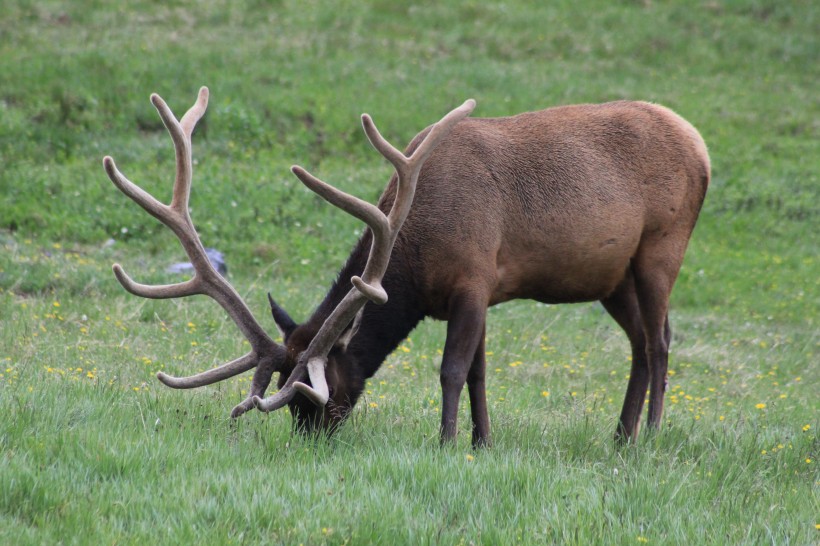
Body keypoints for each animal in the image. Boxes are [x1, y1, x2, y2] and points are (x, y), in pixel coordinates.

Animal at [102, 86, 708, 446]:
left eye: (320, 394)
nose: (310, 442)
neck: (414, 255)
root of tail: (699, 142)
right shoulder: (482, 290)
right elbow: (480, 373)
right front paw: (482, 442)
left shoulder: (473, 279)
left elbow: (453, 370)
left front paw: (447, 444)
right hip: (612, 276)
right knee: (639, 342)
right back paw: (621, 435)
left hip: (663, 245)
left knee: (660, 340)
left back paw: (651, 436)